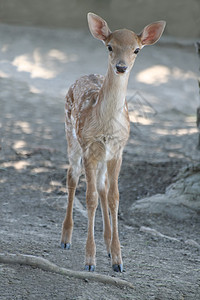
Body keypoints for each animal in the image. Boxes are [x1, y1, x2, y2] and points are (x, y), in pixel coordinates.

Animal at [60, 12, 166, 272]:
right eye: (110, 46)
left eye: (136, 49)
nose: (121, 66)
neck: (105, 125)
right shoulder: (89, 147)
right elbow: (90, 199)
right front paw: (90, 260)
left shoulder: (118, 151)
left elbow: (114, 197)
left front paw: (118, 260)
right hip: (71, 135)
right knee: (72, 177)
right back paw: (66, 239)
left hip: (102, 156)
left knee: (103, 187)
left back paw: (108, 245)